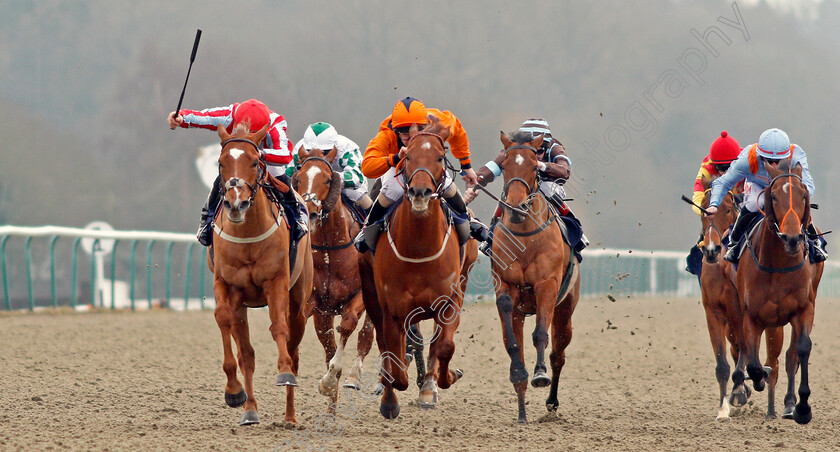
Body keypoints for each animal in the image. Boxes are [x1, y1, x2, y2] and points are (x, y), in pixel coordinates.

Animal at [207, 122, 316, 426]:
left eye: (255, 162)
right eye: (220, 163)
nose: (236, 204)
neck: (247, 236)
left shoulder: (275, 281)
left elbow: (278, 327)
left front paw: (283, 371)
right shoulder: (226, 285)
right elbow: (224, 321)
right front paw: (233, 391)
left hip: (299, 299)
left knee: (293, 348)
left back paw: (290, 415)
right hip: (242, 305)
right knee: (247, 354)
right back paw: (250, 410)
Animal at [294, 147, 376, 412]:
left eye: (328, 179)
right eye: (298, 178)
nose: (309, 211)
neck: (331, 248)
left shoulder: (359, 296)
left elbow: (349, 325)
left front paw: (330, 380)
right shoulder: (319, 306)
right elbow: (325, 343)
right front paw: (329, 391)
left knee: (366, 335)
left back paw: (355, 376)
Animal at [364, 118, 476, 418]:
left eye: (438, 157)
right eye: (409, 157)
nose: (420, 192)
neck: (419, 249)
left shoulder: (450, 300)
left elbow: (444, 346)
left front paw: (442, 380)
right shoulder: (392, 308)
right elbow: (394, 359)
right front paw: (389, 399)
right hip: (370, 294)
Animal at [488, 131, 580, 424]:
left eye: (532, 167)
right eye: (505, 166)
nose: (516, 208)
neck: (525, 237)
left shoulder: (547, 286)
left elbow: (540, 333)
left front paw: (540, 374)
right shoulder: (506, 284)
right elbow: (513, 343)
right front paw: (520, 373)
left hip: (566, 310)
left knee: (558, 355)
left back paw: (551, 402)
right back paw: (521, 413)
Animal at [732, 160, 824, 424]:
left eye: (803, 194)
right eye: (773, 196)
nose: (792, 238)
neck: (778, 266)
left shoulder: (804, 309)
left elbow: (801, 350)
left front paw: (802, 408)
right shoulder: (752, 316)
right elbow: (753, 364)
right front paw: (759, 378)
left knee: (791, 355)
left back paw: (790, 404)